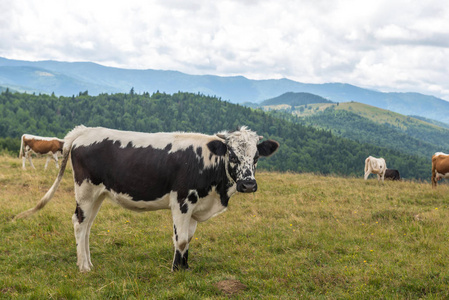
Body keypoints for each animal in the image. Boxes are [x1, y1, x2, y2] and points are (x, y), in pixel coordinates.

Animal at [14, 125, 278, 272]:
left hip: (98, 194)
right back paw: (84, 267)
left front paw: (186, 267)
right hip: (85, 190)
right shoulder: (182, 201)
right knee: (79, 224)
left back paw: (88, 262)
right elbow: (181, 239)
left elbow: (189, 239)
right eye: (232, 155)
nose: (248, 184)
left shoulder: (196, 206)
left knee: (87, 226)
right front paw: (176, 270)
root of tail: (84, 131)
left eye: (256, 157)